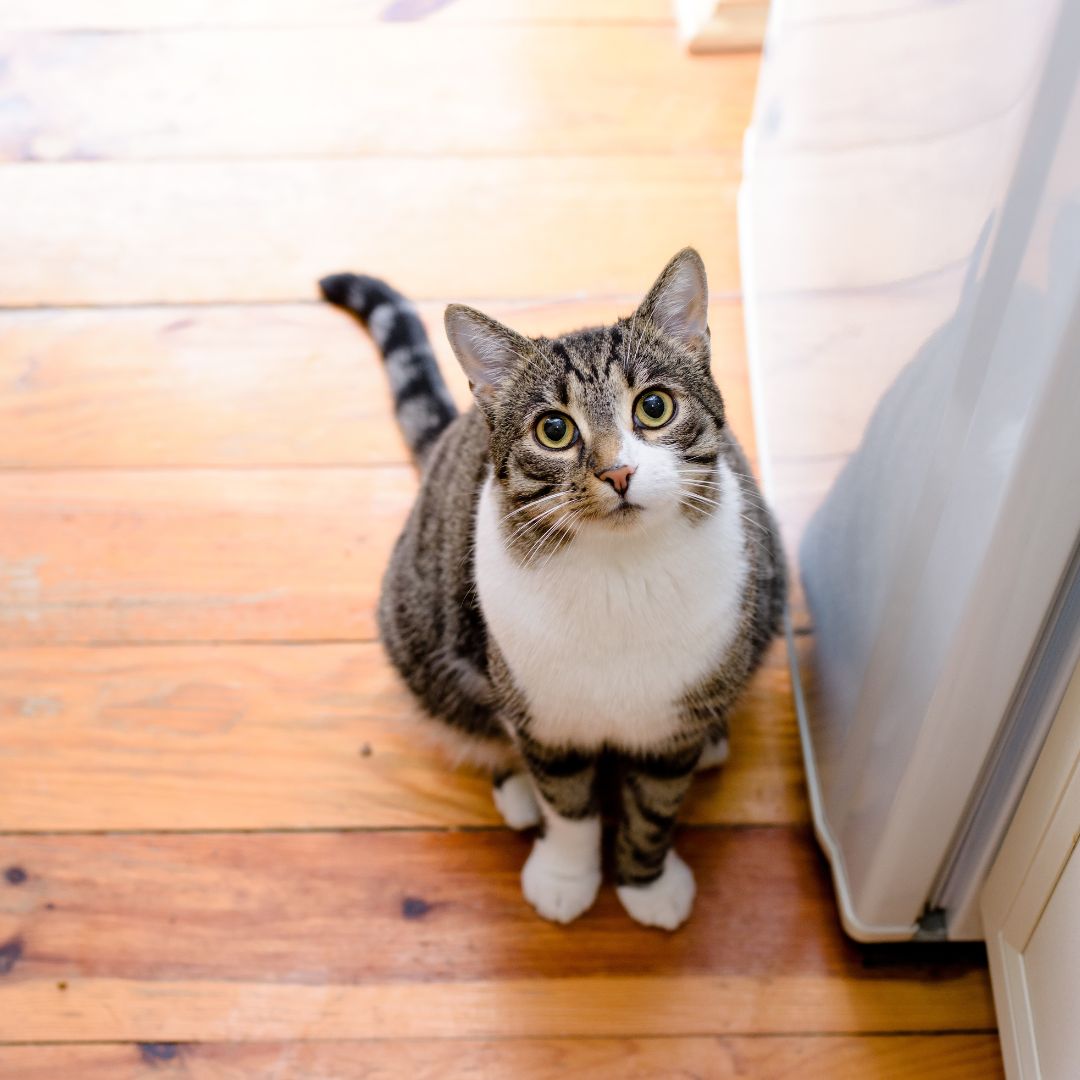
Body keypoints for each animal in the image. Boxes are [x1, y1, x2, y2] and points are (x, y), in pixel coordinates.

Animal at [319, 250, 786, 928]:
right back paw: (515, 790)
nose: (619, 472)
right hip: (421, 632)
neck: (621, 574)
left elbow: (654, 807)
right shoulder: (544, 716)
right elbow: (568, 805)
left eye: (654, 407)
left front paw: (646, 885)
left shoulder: (673, 720)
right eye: (555, 430)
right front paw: (567, 875)